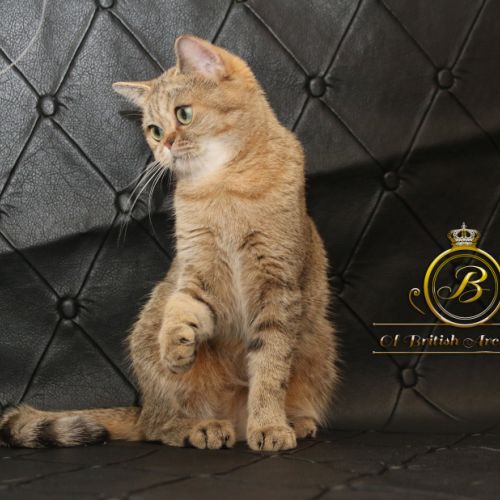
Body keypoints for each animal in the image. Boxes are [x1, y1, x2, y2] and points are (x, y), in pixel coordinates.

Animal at [0, 35, 338, 451]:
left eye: (184, 114)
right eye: (155, 131)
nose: (164, 148)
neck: (222, 185)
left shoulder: (277, 284)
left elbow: (270, 367)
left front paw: (270, 425)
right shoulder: (196, 268)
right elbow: (183, 305)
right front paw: (176, 342)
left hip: (319, 343)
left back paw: (293, 421)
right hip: (155, 356)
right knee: (159, 427)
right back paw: (200, 427)